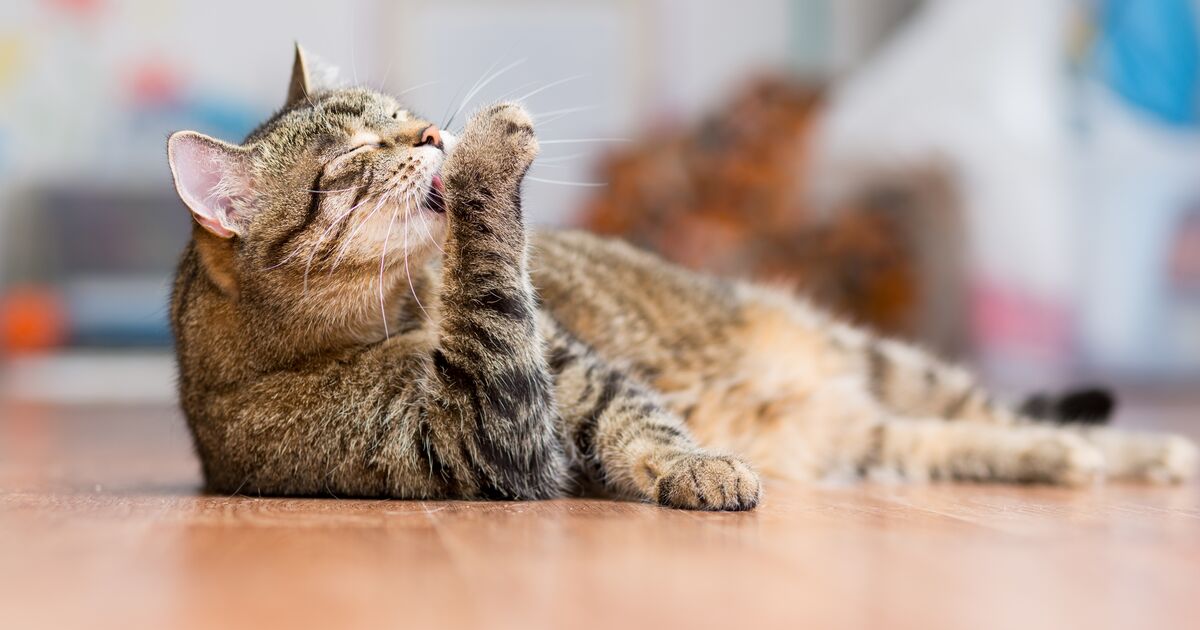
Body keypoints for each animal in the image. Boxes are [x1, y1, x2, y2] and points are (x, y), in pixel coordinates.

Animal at [164, 46, 1195, 511]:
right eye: (356, 155)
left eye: (400, 114)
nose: (430, 135)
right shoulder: (484, 433)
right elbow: (494, 298)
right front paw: (489, 160)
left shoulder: (578, 371)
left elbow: (646, 420)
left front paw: (698, 463)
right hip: (879, 435)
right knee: (958, 439)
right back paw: (1069, 457)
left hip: (890, 364)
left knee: (999, 415)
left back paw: (1142, 453)